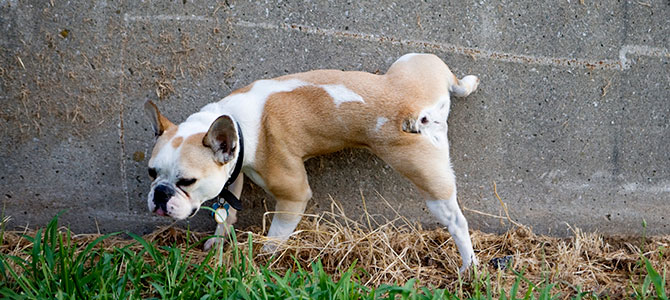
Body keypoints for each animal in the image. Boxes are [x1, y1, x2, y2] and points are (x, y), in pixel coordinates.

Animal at [146, 53, 484, 272]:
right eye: (152, 172)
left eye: (186, 182)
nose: (160, 194)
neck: (236, 125)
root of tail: (417, 110)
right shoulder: (233, 173)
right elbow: (226, 212)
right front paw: (218, 242)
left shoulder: (292, 195)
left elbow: (276, 234)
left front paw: (262, 259)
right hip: (415, 61)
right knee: (453, 79)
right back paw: (468, 82)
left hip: (426, 177)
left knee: (456, 220)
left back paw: (469, 266)